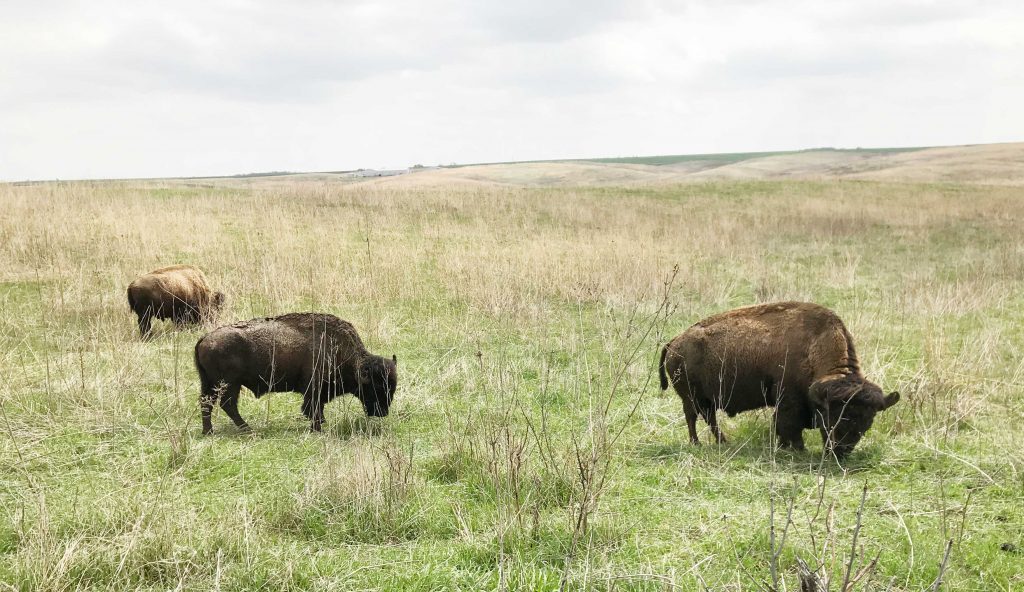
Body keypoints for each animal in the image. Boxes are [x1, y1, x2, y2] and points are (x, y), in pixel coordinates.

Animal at [193, 313, 397, 434]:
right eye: (376, 386)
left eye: (392, 388)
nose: (382, 412)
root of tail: (205, 338)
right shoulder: (314, 390)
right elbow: (312, 408)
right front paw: (317, 427)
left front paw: (320, 423)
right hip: (229, 384)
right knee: (227, 404)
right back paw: (247, 429)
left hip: (209, 383)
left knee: (207, 403)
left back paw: (209, 431)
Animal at [659, 299, 901, 456]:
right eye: (831, 416)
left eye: (867, 422)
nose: (839, 451)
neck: (814, 345)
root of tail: (674, 342)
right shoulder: (789, 399)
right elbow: (788, 424)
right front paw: (797, 448)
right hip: (691, 398)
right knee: (693, 418)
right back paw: (697, 444)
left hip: (706, 400)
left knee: (709, 419)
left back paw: (723, 442)